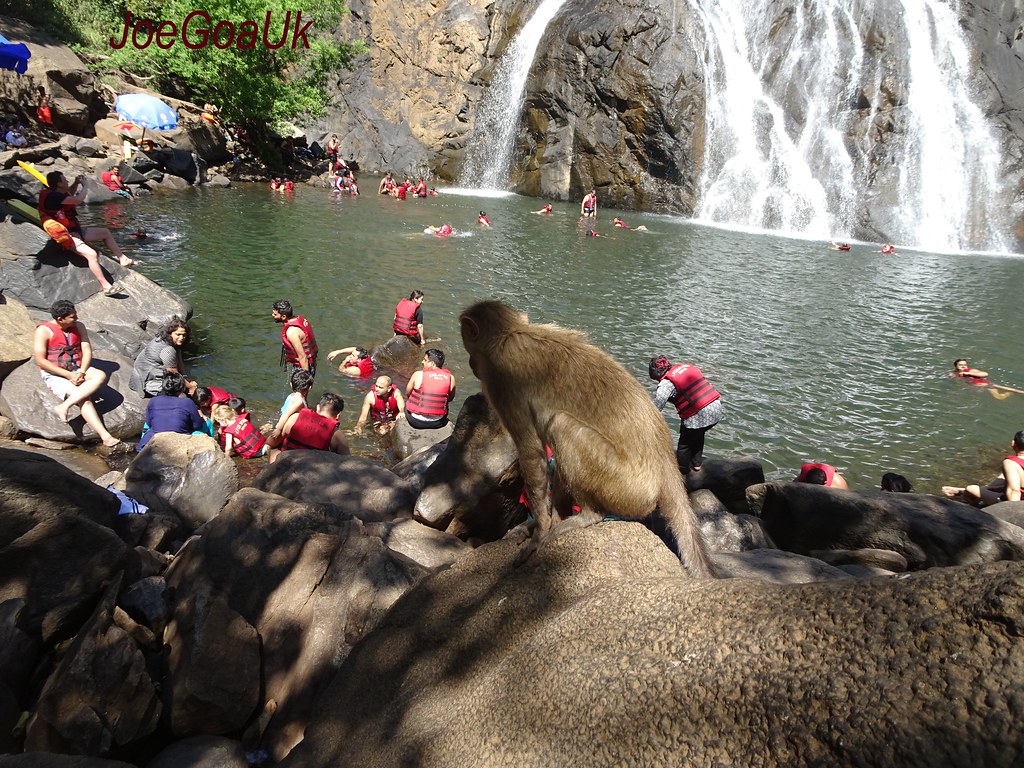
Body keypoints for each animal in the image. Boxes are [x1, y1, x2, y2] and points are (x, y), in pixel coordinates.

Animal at [459, 300, 716, 578]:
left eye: (471, 349)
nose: (470, 363)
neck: (510, 333)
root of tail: (666, 464)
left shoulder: (501, 381)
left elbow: (531, 452)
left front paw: (539, 532)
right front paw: (547, 520)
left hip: (626, 487)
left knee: (560, 424)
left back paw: (587, 516)